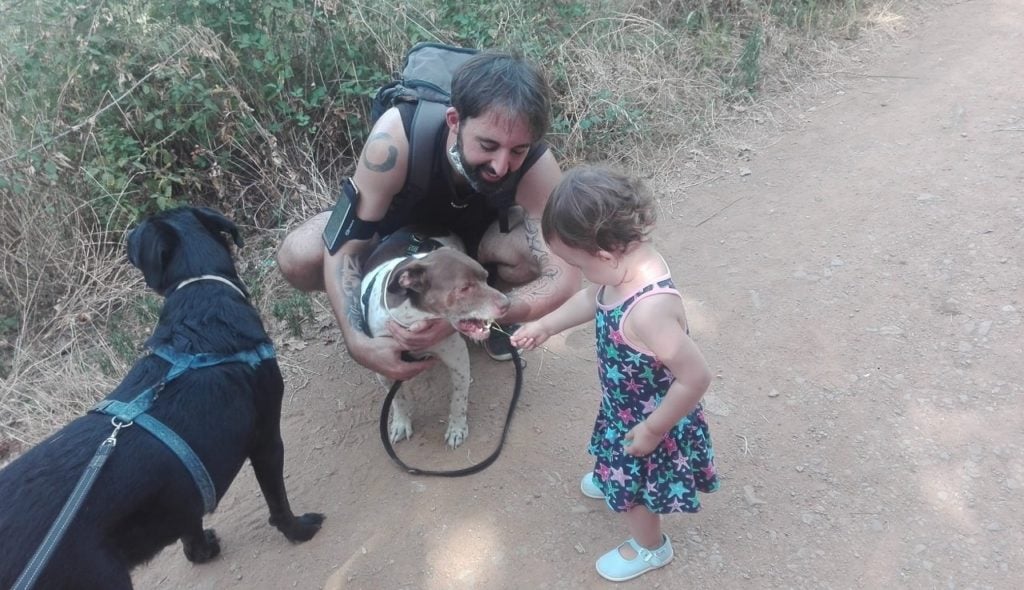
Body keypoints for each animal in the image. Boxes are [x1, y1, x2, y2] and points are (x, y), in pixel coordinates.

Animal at [0, 206, 323, 590]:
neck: (200, 297)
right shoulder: (267, 440)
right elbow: (278, 502)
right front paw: (299, 530)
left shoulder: (180, 494)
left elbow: (189, 524)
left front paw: (200, 552)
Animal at [360, 227, 512, 446]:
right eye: (464, 288)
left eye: (485, 277)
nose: (508, 303)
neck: (413, 320)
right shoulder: (384, 367)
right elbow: (397, 400)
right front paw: (401, 423)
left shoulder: (457, 358)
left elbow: (459, 399)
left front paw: (457, 428)